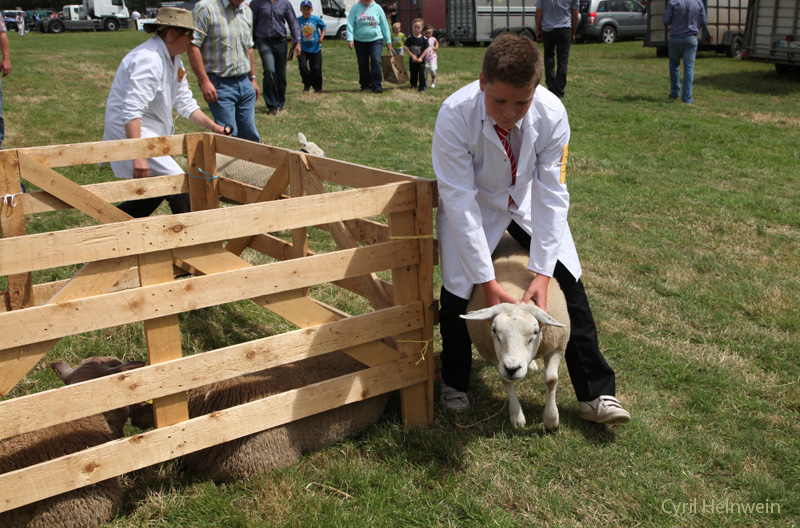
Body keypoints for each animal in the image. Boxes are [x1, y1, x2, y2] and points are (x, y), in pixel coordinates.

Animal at [460, 234, 572, 428]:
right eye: (494, 331)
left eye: (534, 333)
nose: (513, 368)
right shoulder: (493, 354)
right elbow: (505, 379)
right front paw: (517, 417)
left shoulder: (557, 346)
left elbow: (551, 380)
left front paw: (551, 420)